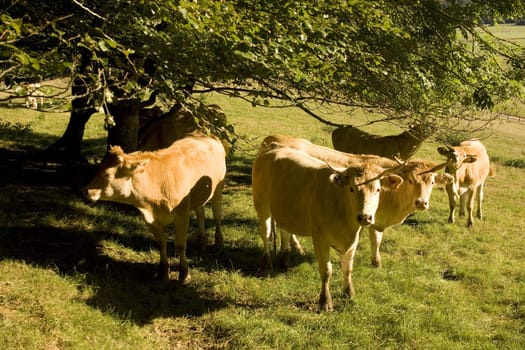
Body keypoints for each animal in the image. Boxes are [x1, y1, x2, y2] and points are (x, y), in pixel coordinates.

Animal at [83, 134, 226, 282]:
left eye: (107, 175)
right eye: (98, 170)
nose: (85, 191)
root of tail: (204, 135)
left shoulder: (182, 215)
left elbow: (180, 245)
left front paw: (184, 273)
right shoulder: (149, 219)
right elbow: (161, 242)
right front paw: (163, 271)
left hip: (218, 190)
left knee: (217, 216)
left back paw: (219, 244)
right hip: (199, 197)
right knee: (200, 213)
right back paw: (202, 242)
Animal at [260, 134, 452, 268]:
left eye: (432, 182)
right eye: (411, 180)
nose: (421, 202)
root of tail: (275, 140)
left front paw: (375, 262)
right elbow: (374, 240)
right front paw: (375, 262)